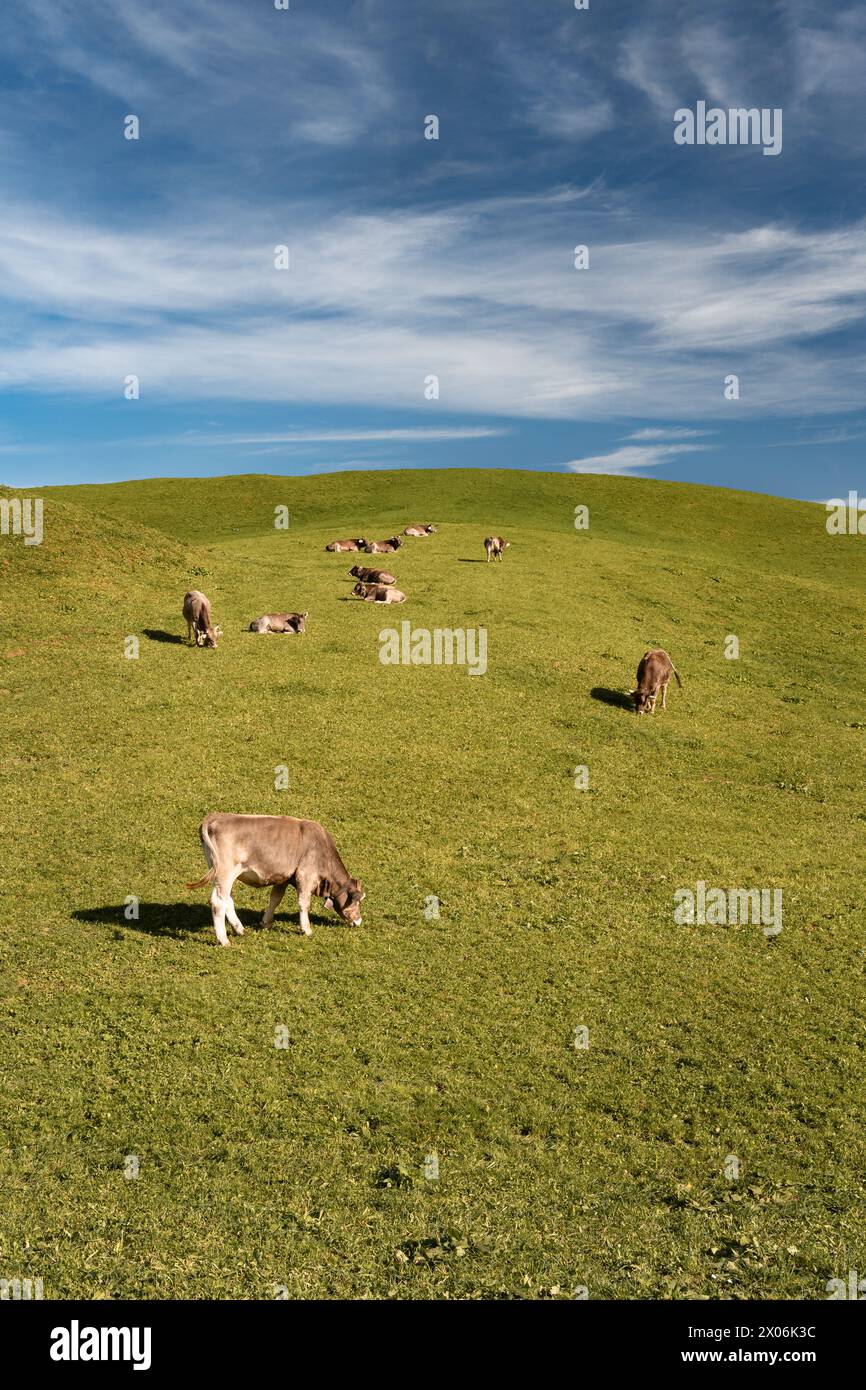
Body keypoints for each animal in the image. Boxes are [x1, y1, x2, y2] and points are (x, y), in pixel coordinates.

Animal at [186, 812, 365, 945]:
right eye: (357, 901)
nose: (359, 921)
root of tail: (216, 816)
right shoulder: (305, 875)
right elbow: (304, 903)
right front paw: (306, 929)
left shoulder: (283, 878)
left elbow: (275, 899)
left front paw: (266, 922)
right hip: (225, 872)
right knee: (218, 902)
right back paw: (223, 940)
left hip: (219, 873)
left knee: (227, 899)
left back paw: (240, 929)